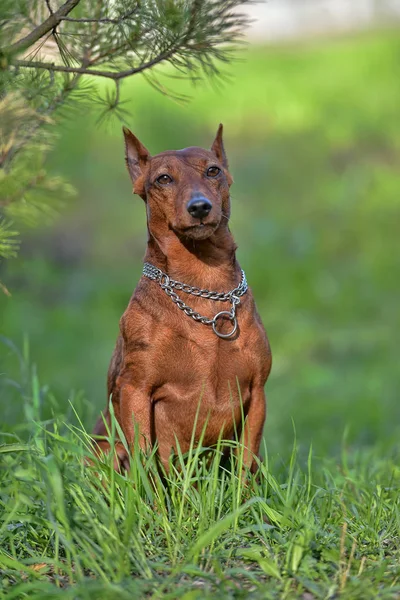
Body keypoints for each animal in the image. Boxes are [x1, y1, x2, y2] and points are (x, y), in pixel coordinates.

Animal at [92, 125, 270, 474]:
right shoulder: (136, 391)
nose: (199, 207)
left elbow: (245, 469)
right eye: (163, 178)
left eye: (213, 170)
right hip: (104, 448)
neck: (203, 283)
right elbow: (146, 467)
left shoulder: (257, 395)